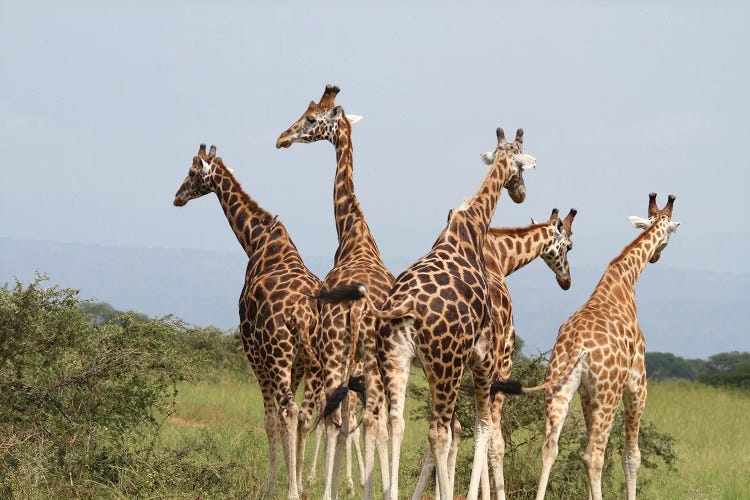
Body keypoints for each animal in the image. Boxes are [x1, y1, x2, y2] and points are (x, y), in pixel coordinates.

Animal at [173, 144, 326, 500]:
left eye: (191, 172)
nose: (177, 197)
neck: (255, 241)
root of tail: (302, 314)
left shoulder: (253, 353)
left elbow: (269, 420)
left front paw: (273, 485)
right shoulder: (298, 364)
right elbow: (287, 421)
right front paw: (291, 480)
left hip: (277, 356)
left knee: (289, 412)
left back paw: (291, 491)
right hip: (315, 360)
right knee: (304, 413)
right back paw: (302, 486)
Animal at [276, 85, 394, 500]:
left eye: (311, 118)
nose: (283, 138)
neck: (355, 233)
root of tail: (358, 305)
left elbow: (335, 422)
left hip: (334, 353)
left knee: (333, 419)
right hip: (373, 360)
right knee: (376, 421)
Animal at [320, 127, 536, 498]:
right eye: (520, 166)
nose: (521, 192)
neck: (470, 228)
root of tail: (404, 309)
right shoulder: (482, 357)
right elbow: (480, 428)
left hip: (393, 359)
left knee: (394, 422)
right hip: (444, 365)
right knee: (439, 431)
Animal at [412, 207, 580, 500]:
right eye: (569, 245)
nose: (566, 281)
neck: (501, 256)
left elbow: (461, 429)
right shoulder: (503, 362)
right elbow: (495, 439)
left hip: (439, 365)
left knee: (443, 429)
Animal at [500, 192, 680, 500]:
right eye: (669, 232)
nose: (656, 256)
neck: (623, 282)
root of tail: (577, 348)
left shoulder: (585, 394)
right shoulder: (637, 384)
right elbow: (632, 456)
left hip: (559, 388)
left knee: (550, 448)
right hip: (609, 395)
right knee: (594, 455)